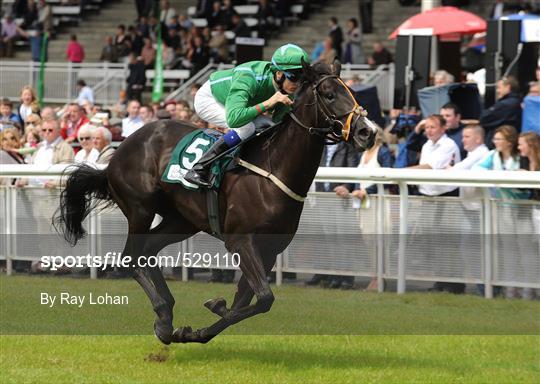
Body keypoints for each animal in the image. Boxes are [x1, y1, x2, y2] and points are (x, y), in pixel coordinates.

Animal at [54, 60, 376, 344]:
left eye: (352, 92)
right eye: (329, 94)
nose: (367, 131)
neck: (274, 168)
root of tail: (121, 149)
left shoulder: (270, 250)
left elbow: (248, 301)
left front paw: (202, 322)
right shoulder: (240, 240)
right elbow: (264, 298)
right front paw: (201, 322)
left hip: (181, 220)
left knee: (148, 251)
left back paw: (166, 316)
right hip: (140, 209)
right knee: (131, 258)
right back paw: (163, 314)